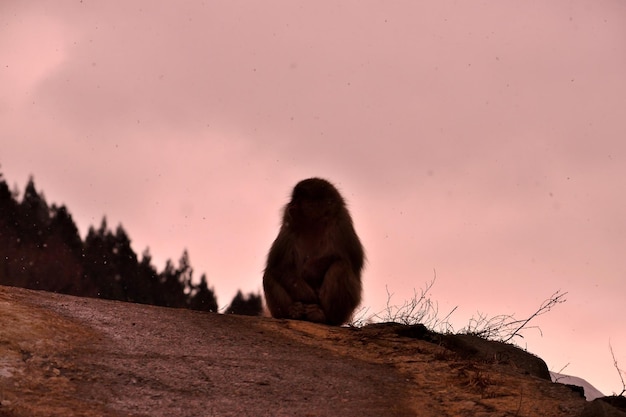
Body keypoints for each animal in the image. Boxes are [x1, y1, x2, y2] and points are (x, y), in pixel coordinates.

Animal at [260, 176, 364, 324]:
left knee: (341, 267)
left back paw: (325, 318)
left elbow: (352, 260)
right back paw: (292, 312)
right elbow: (278, 266)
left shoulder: (342, 225)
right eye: (295, 198)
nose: (291, 204)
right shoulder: (288, 226)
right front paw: (307, 295)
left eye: (301, 199)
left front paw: (310, 271)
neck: (314, 225)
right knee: (268, 275)